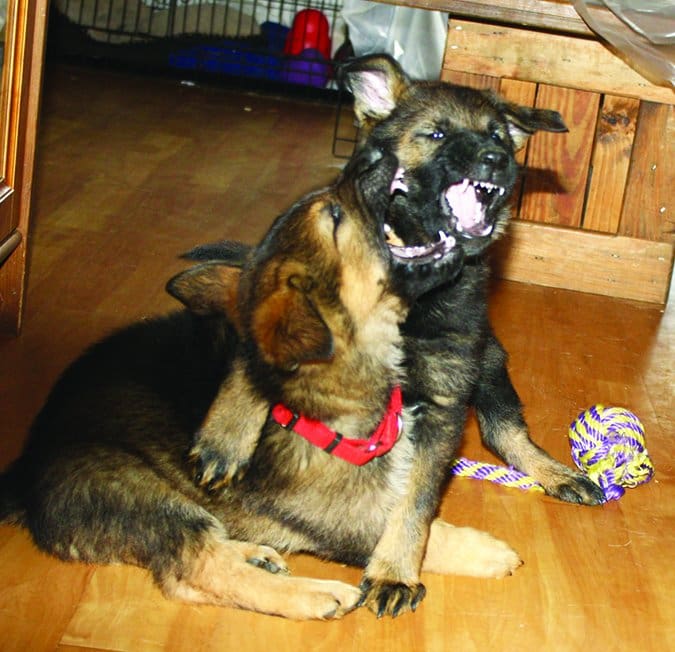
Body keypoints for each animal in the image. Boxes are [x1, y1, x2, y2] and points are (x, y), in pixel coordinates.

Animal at [0, 145, 516, 620]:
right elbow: (415, 527)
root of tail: (23, 474)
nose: (376, 154)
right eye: (335, 217)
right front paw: (485, 551)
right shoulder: (347, 516)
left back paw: (256, 555)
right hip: (138, 492)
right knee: (196, 567)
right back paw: (314, 595)